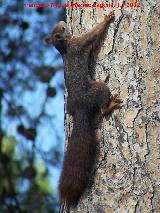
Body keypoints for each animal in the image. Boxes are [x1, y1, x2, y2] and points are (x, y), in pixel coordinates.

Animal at [45, 11, 122, 208]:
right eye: (62, 28)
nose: (62, 21)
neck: (64, 48)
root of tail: (80, 109)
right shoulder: (80, 43)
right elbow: (94, 34)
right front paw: (107, 19)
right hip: (98, 89)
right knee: (102, 109)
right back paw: (109, 105)